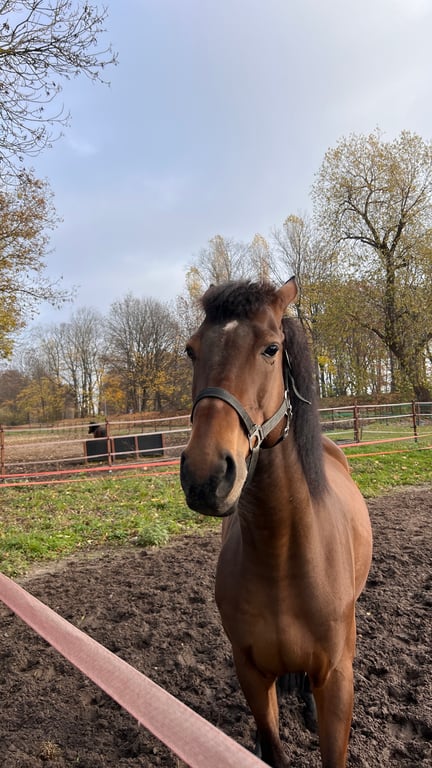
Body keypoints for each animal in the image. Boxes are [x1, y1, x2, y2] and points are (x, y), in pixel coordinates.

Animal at [180, 278, 372, 767]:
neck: (282, 556)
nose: (206, 476)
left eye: (271, 348)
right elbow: (272, 745)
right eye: (191, 350)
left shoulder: (337, 681)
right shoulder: (250, 673)